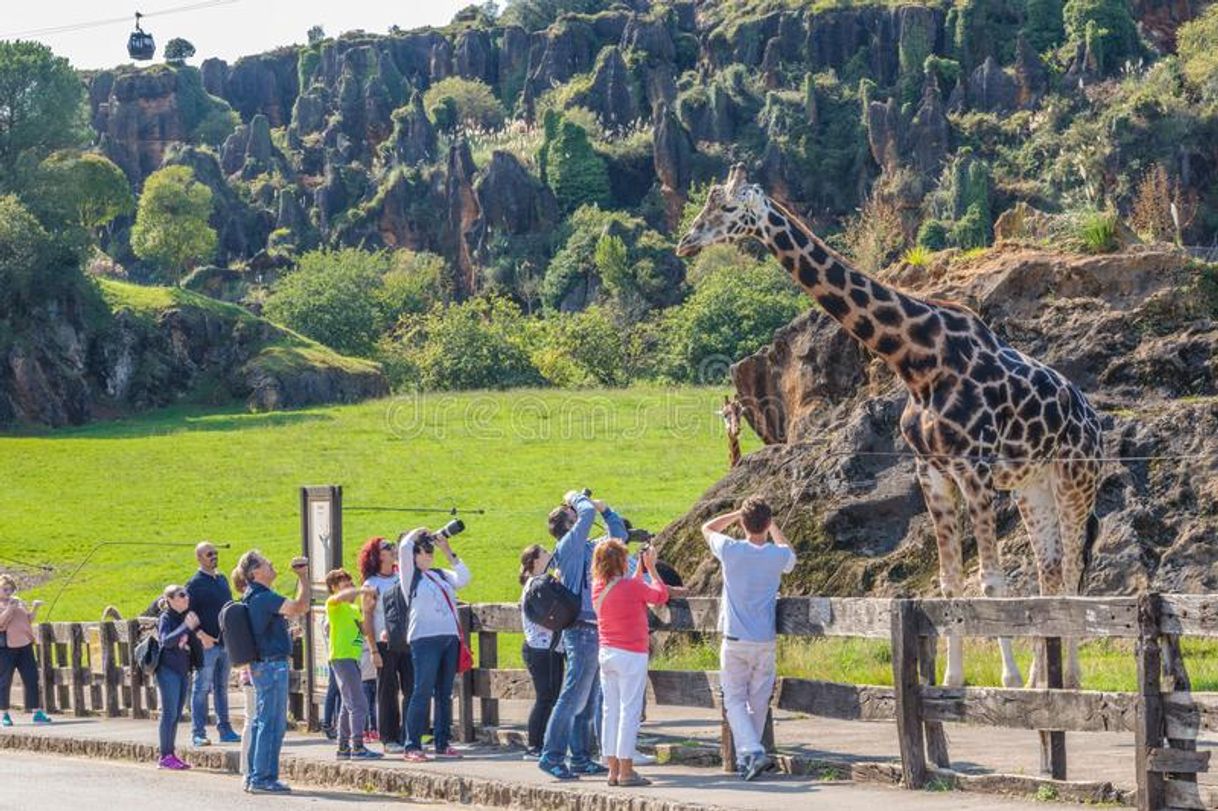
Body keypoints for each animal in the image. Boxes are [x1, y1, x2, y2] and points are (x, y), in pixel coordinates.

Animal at [682, 165, 1110, 686]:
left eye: (726, 208)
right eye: (705, 205)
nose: (686, 242)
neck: (917, 360)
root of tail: (1093, 417)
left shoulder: (975, 469)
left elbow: (990, 581)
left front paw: (1004, 681)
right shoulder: (933, 472)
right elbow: (950, 584)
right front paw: (953, 681)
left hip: (1076, 477)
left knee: (1070, 571)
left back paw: (1068, 679)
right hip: (1033, 485)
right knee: (1049, 570)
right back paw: (1040, 680)